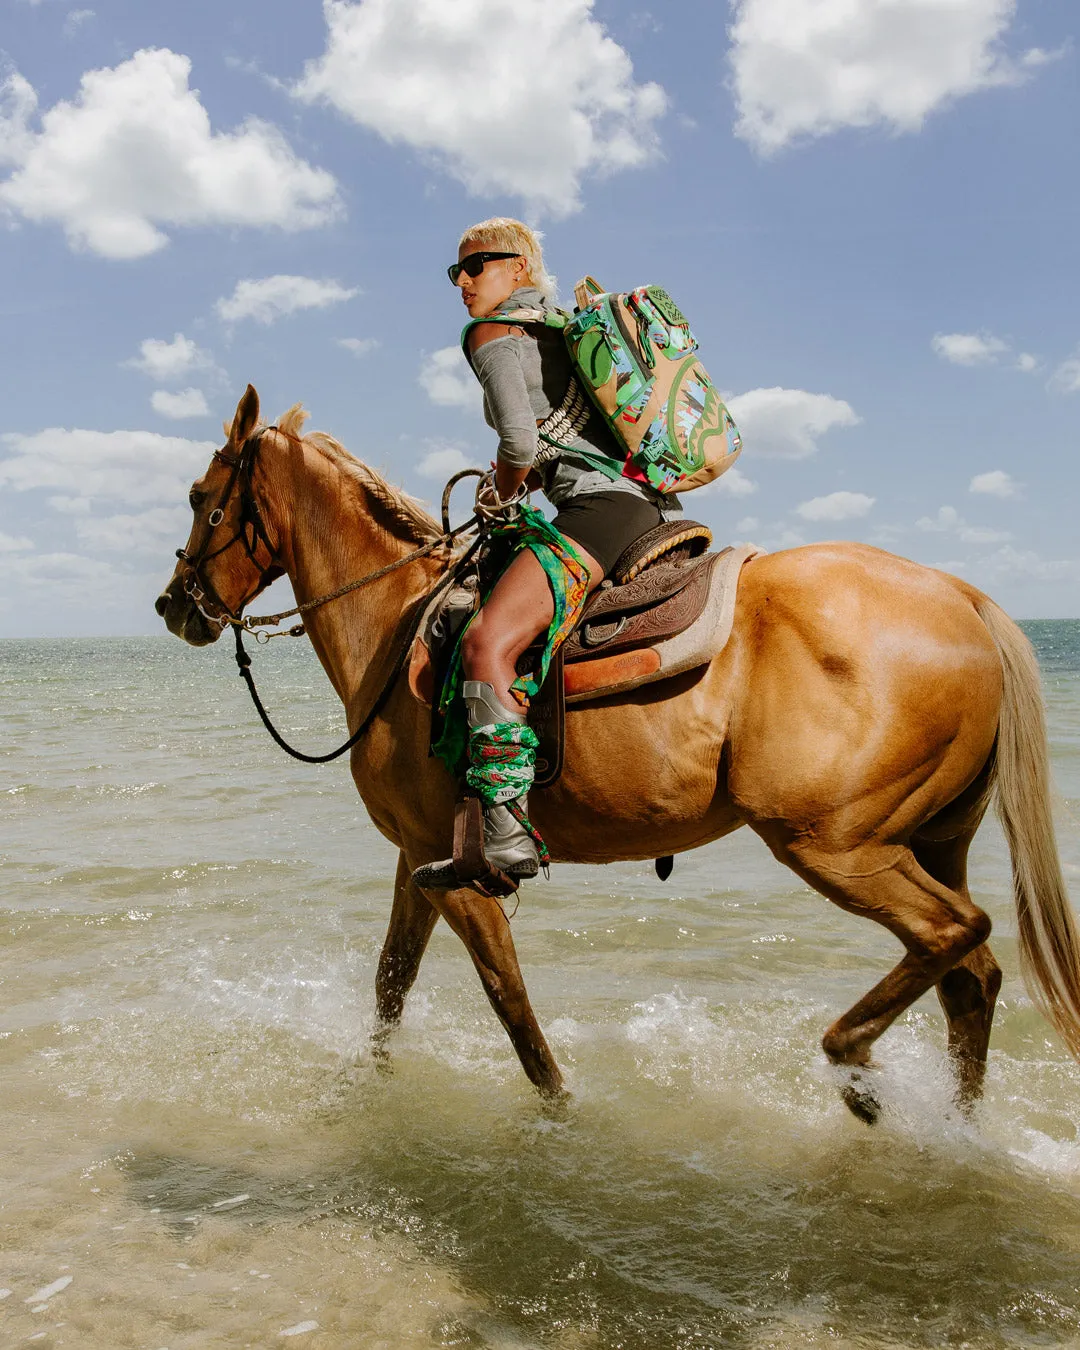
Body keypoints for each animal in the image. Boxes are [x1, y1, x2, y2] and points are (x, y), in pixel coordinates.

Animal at [153, 386, 1080, 1123]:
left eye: (202, 496)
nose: (173, 605)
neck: (398, 620)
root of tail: (962, 597)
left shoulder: (457, 870)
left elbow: (509, 1001)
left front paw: (561, 1114)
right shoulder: (421, 858)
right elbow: (392, 982)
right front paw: (366, 1084)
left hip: (837, 845)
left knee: (953, 935)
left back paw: (853, 1065)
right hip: (931, 839)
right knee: (971, 974)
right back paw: (956, 1135)